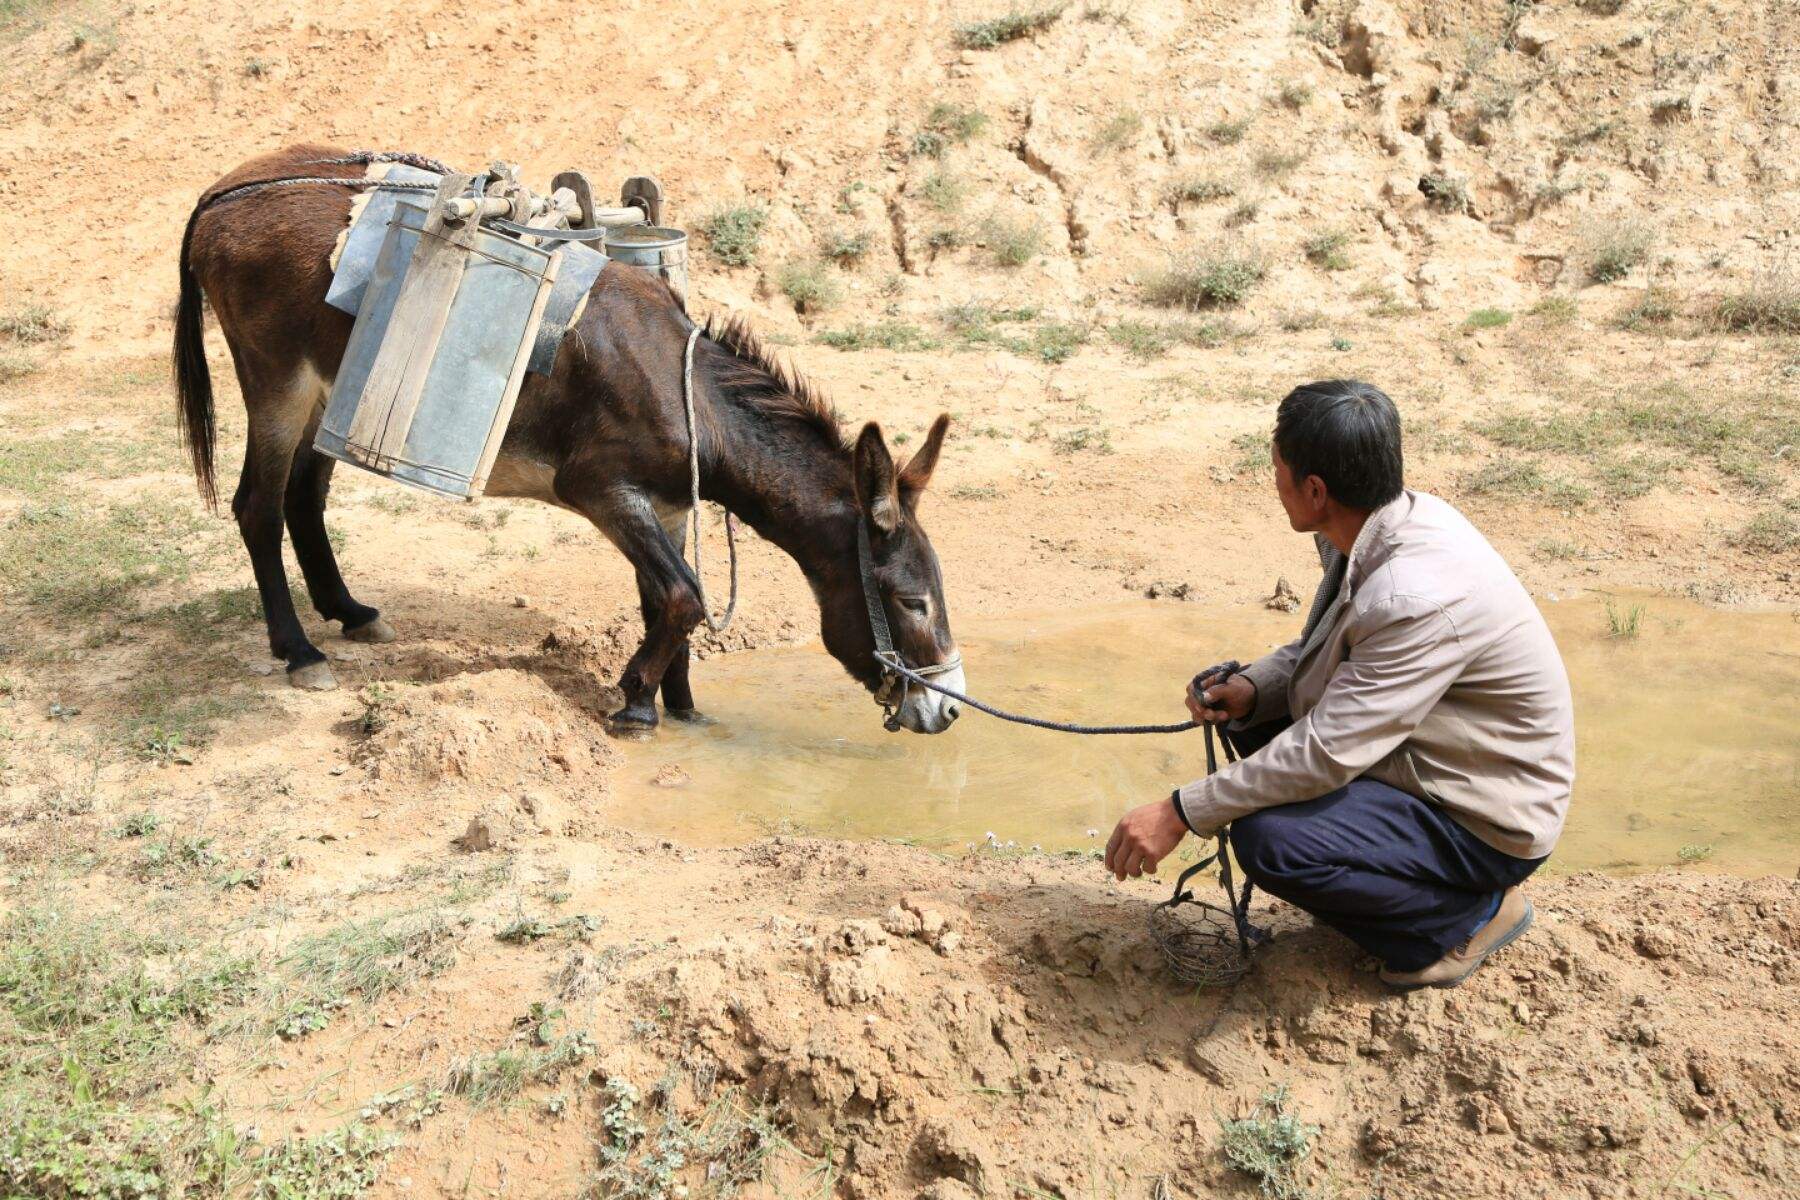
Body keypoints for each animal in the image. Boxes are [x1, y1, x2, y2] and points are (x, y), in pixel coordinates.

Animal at [172, 144, 965, 735]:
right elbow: (684, 597)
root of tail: (222, 191)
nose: (948, 712)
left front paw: (681, 707)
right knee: (257, 507)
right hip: (277, 381)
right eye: (912, 602)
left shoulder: (666, 503)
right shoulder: (601, 489)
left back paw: (350, 612)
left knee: (303, 497)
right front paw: (636, 703)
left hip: (326, 389)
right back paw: (299, 650)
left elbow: (665, 599)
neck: (688, 400)